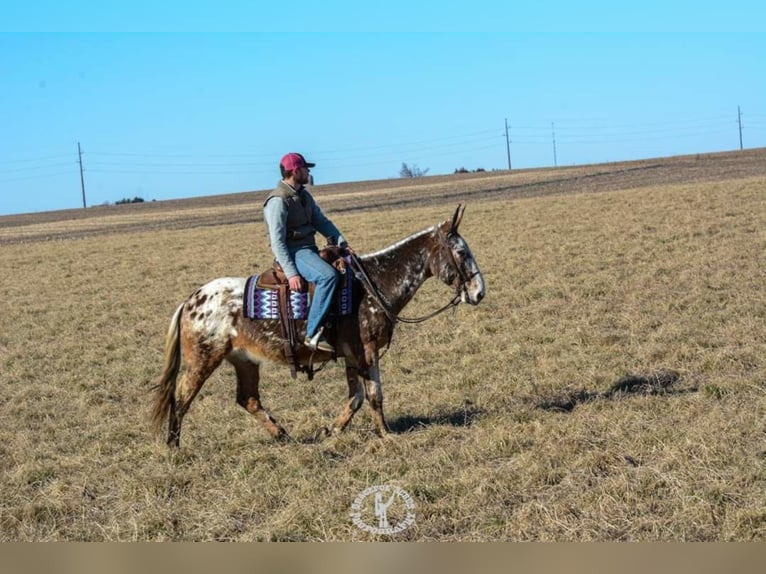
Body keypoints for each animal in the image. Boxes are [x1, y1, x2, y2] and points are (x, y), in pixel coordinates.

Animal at [150, 205, 486, 448]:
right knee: (182, 397)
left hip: (245, 361)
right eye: (461, 252)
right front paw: (386, 434)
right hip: (203, 359)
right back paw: (174, 446)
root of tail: (190, 300)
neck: (373, 283)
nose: (479, 292)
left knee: (248, 398)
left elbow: (356, 397)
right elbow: (374, 394)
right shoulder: (367, 351)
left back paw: (282, 435)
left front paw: (332, 430)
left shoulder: (352, 355)